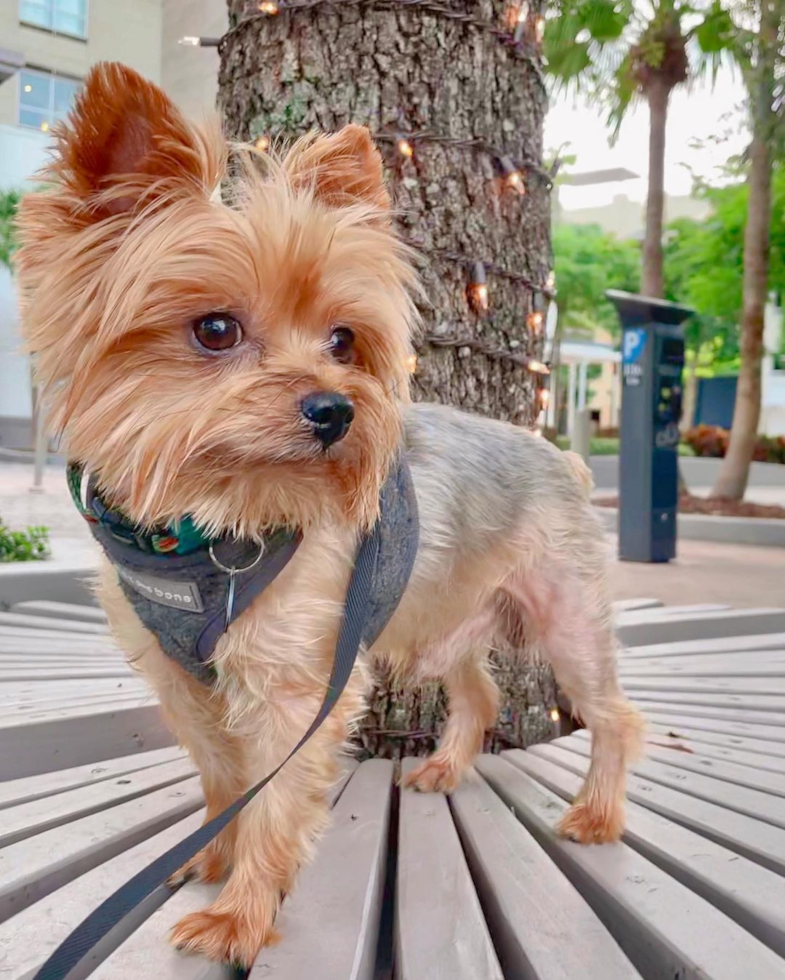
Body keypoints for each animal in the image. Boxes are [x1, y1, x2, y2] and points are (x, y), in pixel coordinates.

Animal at [18, 65, 644, 968]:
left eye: (343, 340)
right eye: (214, 329)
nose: (335, 410)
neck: (206, 529)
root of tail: (559, 453)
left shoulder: (294, 689)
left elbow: (272, 799)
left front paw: (240, 914)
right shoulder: (181, 679)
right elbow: (222, 778)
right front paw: (215, 857)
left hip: (564, 618)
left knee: (614, 714)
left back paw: (596, 813)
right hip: (447, 613)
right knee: (479, 694)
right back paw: (444, 770)